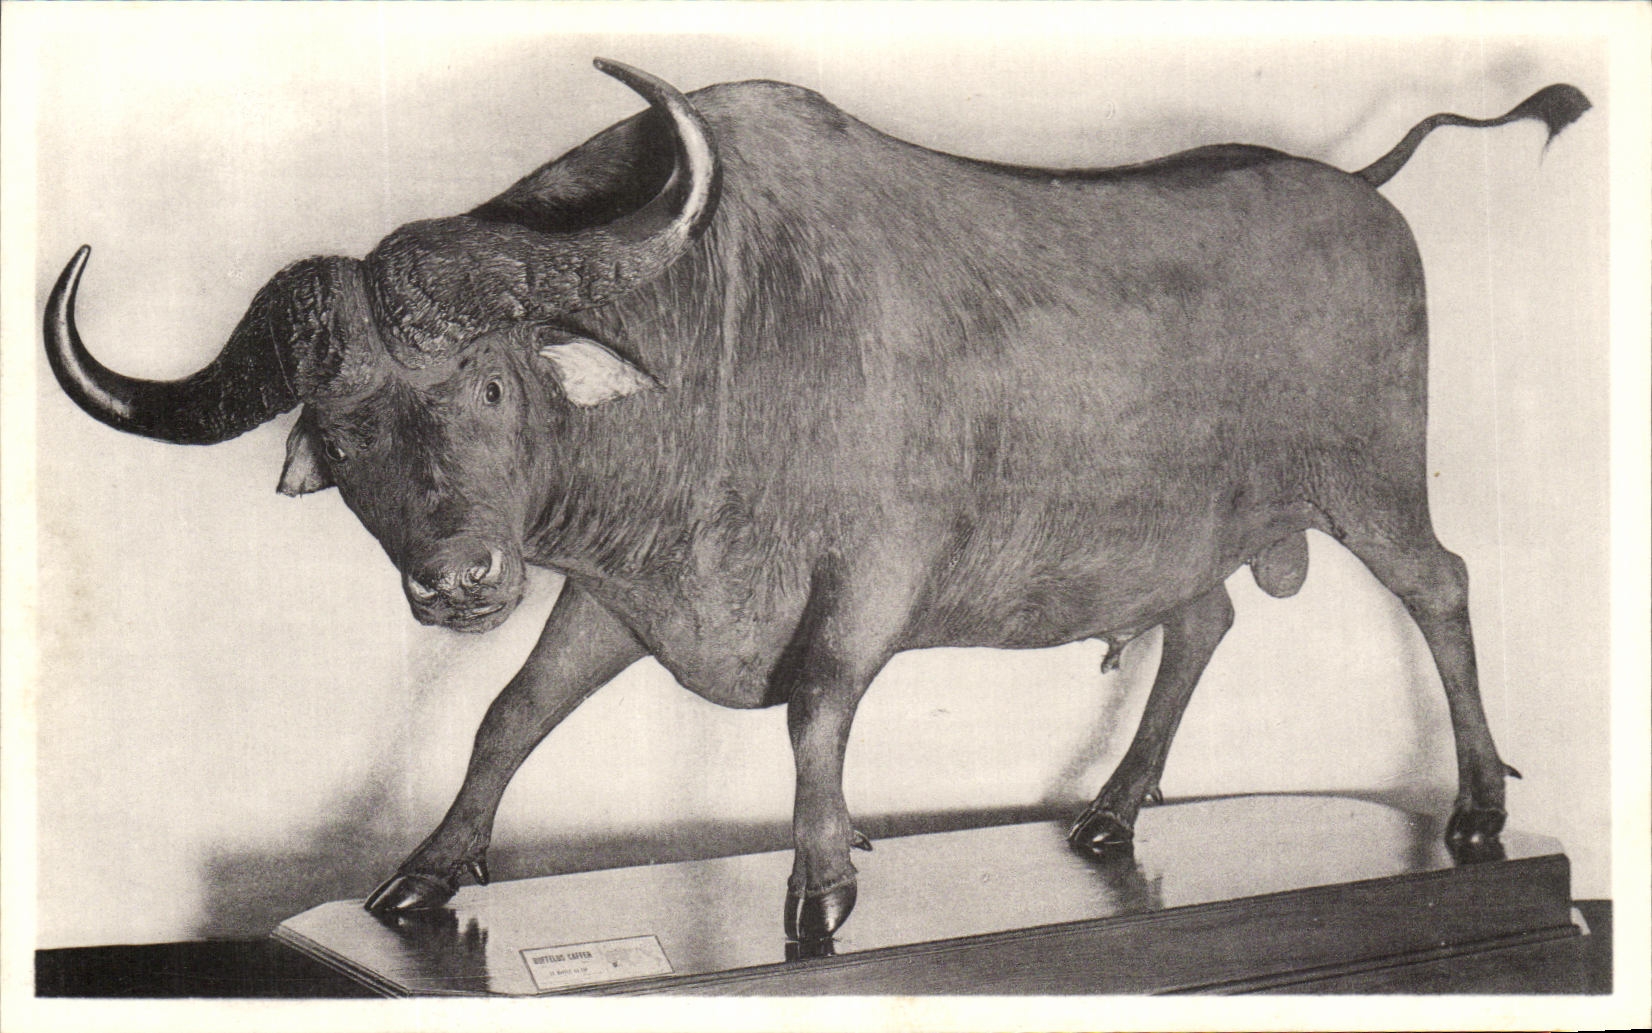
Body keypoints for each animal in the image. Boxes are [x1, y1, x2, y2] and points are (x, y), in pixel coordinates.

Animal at [45, 60, 1589, 946]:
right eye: (348, 429)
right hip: (1190, 534)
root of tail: (1360, 186)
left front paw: (823, 879)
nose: (458, 579)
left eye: (486, 383)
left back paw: (1474, 813)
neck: (719, 343)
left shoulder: (869, 578)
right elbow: (510, 715)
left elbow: (819, 705)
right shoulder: (613, 596)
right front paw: (427, 874)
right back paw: (1108, 815)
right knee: (1201, 622)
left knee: (1441, 587)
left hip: (1371, 477)